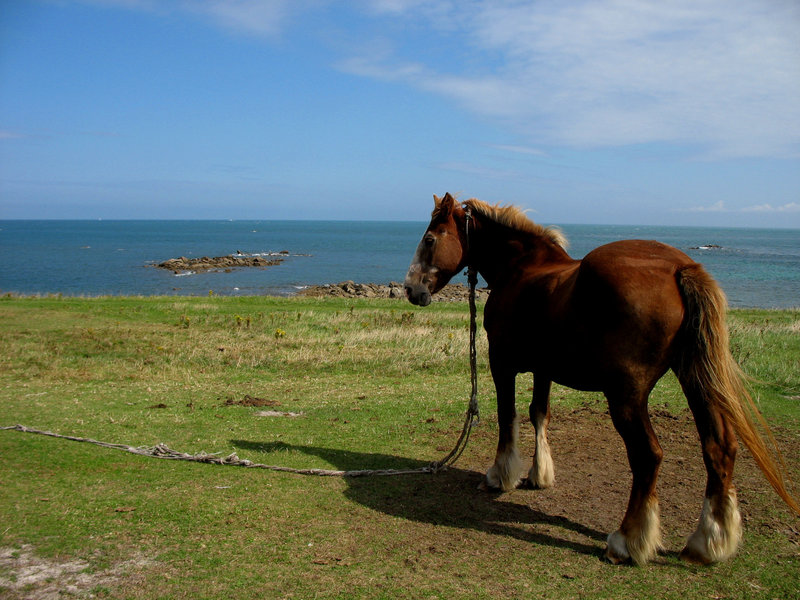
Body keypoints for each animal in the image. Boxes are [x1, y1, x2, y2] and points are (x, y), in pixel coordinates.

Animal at [406, 193, 800, 568]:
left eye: (429, 238)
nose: (411, 290)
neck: (522, 270)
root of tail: (680, 268)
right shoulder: (544, 369)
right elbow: (538, 414)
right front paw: (539, 474)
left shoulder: (502, 363)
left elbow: (508, 417)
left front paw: (500, 475)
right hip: (694, 378)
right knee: (718, 448)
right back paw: (708, 541)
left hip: (627, 395)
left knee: (648, 456)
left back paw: (627, 541)